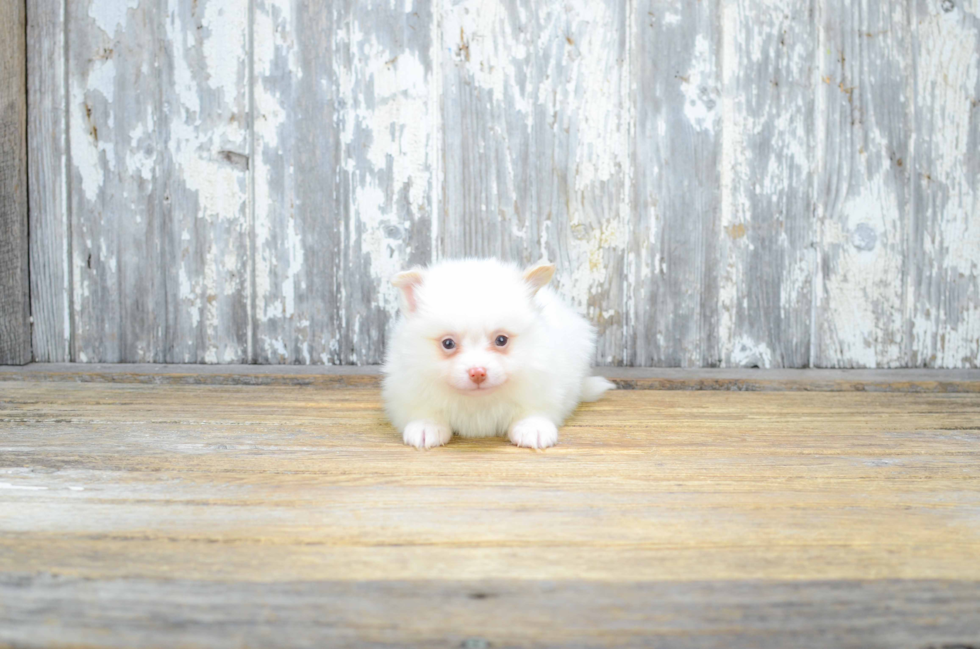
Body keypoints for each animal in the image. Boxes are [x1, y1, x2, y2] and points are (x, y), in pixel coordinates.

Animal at [380, 256, 612, 448]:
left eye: (501, 340)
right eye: (448, 343)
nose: (477, 373)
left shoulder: (544, 381)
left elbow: (533, 409)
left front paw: (532, 427)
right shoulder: (407, 385)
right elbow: (422, 409)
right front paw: (426, 426)